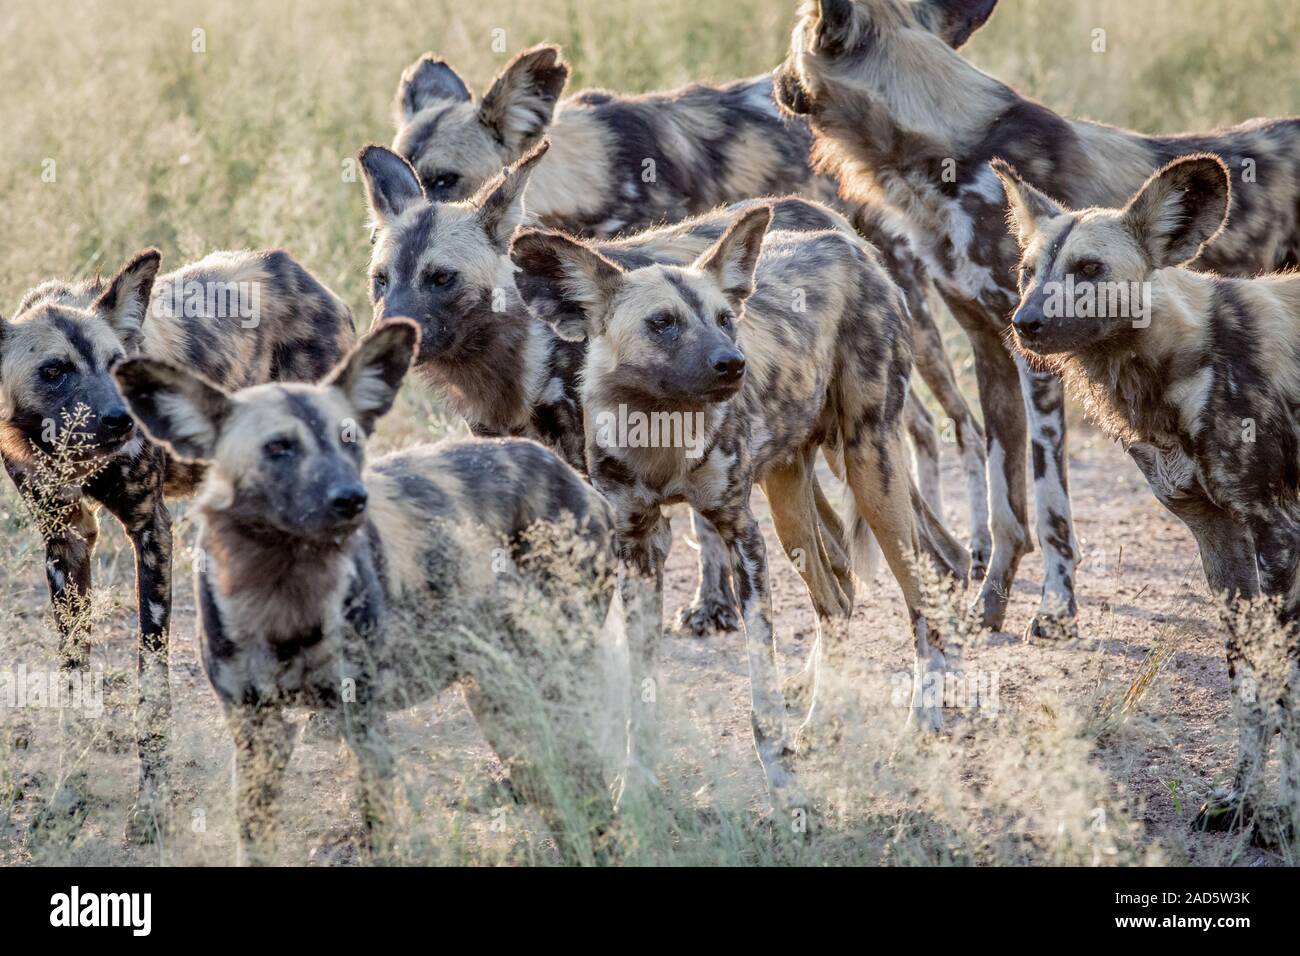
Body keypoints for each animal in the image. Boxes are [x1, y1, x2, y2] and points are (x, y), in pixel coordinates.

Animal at [0, 251, 356, 842]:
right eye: (53, 371)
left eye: (116, 363)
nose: (122, 418)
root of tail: (309, 280)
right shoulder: (65, 540)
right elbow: (73, 682)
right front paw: (66, 793)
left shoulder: (151, 531)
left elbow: (153, 686)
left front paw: (150, 807)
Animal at [111, 321, 618, 868]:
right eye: (278, 448)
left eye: (348, 439)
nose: (352, 499)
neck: (281, 592)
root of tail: (579, 482)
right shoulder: (256, 729)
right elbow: (255, 838)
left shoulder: (364, 720)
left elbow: (381, 832)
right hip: (497, 697)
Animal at [506, 201, 967, 806]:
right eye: (662, 323)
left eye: (725, 318)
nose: (733, 363)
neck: (663, 428)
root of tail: (849, 243)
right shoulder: (638, 546)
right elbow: (640, 689)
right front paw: (635, 782)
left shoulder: (740, 535)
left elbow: (761, 686)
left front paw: (783, 784)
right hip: (789, 503)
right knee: (834, 604)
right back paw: (819, 724)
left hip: (872, 470)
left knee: (920, 603)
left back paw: (921, 720)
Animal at [774, 1, 1300, 642]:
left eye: (791, 44)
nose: (773, 83)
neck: (948, 156)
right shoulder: (994, 346)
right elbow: (1007, 504)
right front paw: (989, 602)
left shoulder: (1040, 359)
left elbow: (1050, 506)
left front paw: (1056, 608)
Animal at [987, 155, 1294, 842]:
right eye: (1028, 272)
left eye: (1089, 270)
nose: (1024, 324)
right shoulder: (1219, 538)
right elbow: (1248, 684)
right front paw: (1240, 801)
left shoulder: (1277, 532)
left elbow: (1287, 687)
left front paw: (1284, 817)